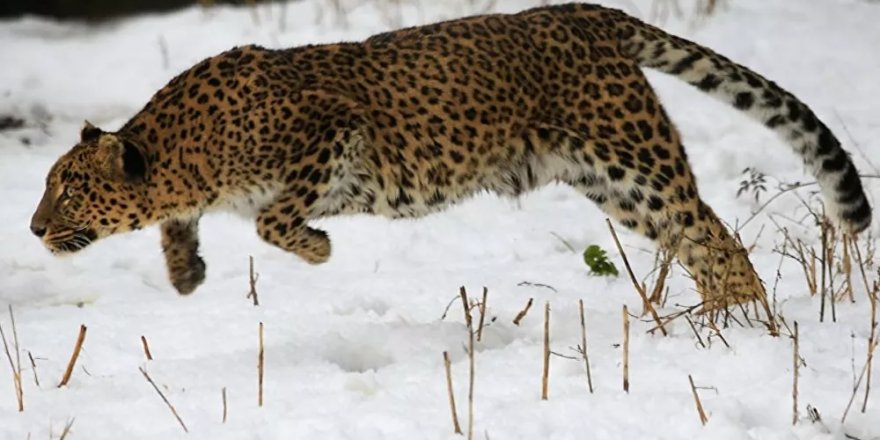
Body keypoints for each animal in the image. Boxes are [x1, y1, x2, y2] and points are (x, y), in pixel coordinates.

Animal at [31, 1, 868, 308]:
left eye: (66, 189)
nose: (35, 229)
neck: (182, 157)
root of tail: (589, 12)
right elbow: (186, 222)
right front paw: (186, 272)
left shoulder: (334, 131)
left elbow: (275, 218)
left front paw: (318, 247)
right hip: (614, 183)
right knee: (698, 234)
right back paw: (726, 318)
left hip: (635, 158)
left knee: (709, 228)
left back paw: (746, 321)